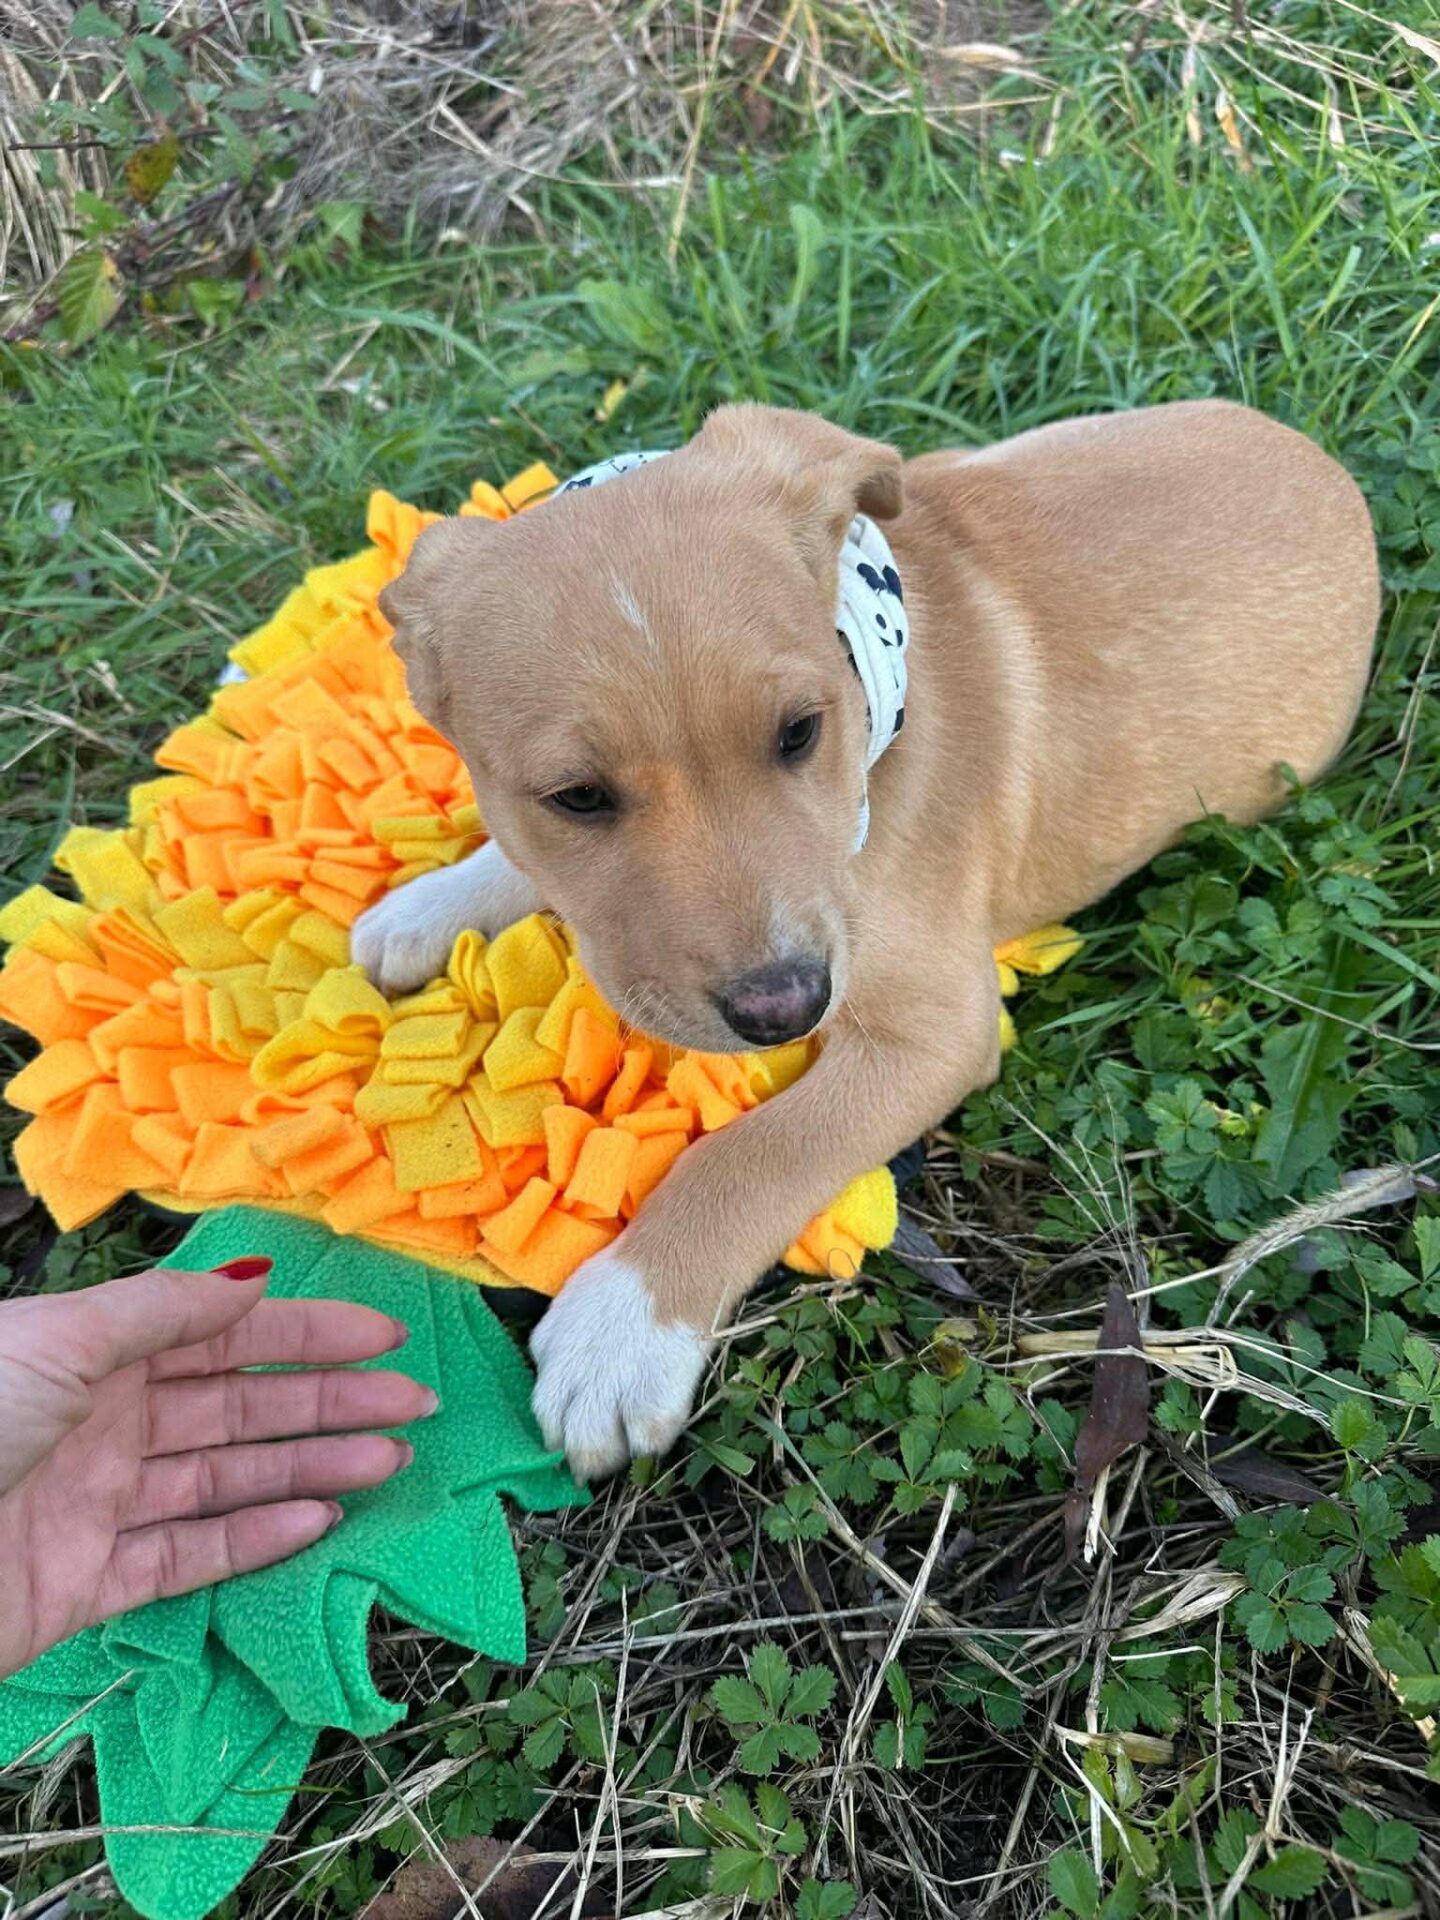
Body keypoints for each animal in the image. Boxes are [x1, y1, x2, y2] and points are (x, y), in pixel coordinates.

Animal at [352, 400, 1379, 1480]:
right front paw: (429, 904)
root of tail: (1325, 469)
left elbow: (753, 1153)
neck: (876, 725)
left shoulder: (938, 1030)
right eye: (577, 797)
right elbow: (523, 863)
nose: (785, 1008)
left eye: (800, 731)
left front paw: (623, 1328)